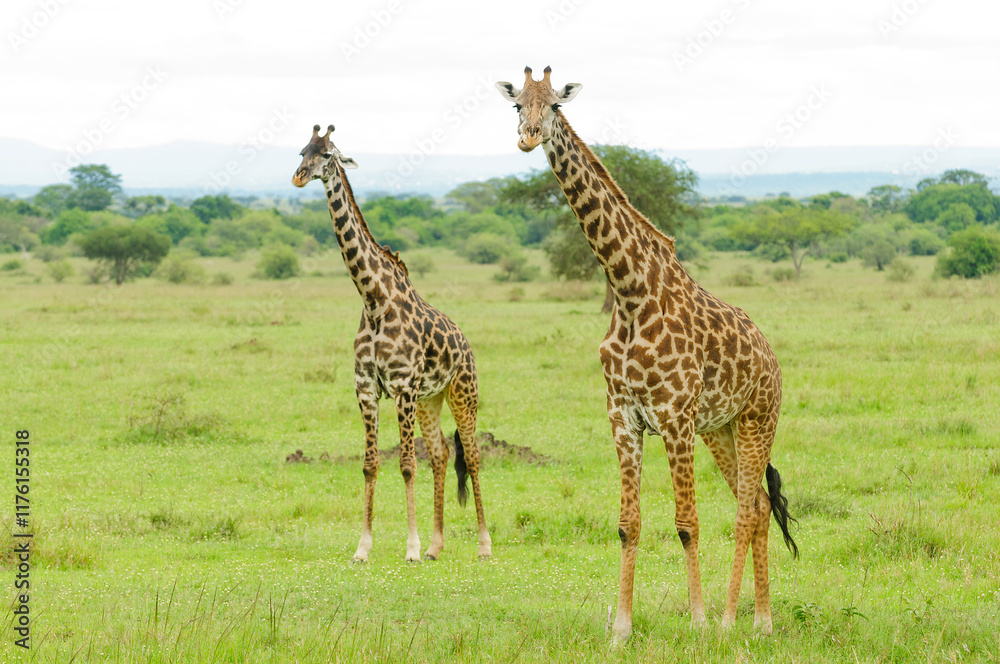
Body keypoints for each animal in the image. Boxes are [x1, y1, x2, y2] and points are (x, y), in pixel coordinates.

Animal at [292, 124, 491, 562]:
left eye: (328, 154)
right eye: (302, 151)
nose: (298, 176)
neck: (373, 298)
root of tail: (466, 342)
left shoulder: (401, 386)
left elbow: (406, 464)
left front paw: (411, 548)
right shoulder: (367, 387)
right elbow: (370, 464)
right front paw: (363, 548)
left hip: (462, 393)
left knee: (471, 455)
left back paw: (483, 544)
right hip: (430, 399)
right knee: (441, 454)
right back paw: (437, 545)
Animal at [496, 68, 797, 642]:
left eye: (555, 106)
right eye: (517, 104)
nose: (526, 136)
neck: (630, 292)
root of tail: (772, 356)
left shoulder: (674, 419)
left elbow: (687, 523)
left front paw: (699, 621)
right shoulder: (624, 417)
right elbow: (627, 525)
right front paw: (621, 627)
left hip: (757, 420)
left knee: (748, 511)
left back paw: (735, 620)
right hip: (720, 430)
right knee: (758, 504)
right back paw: (762, 619)